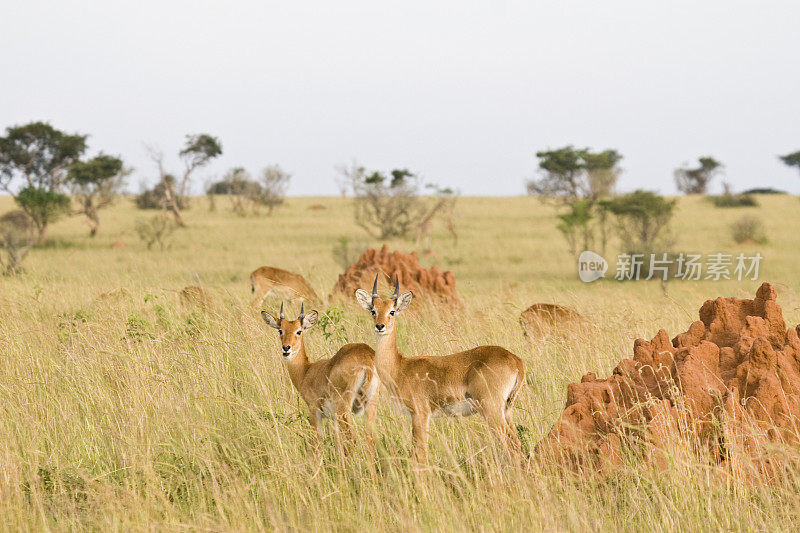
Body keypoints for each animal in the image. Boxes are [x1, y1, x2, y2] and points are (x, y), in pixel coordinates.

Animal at [260, 302, 378, 456]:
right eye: (280, 330)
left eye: (299, 331)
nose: (286, 348)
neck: (306, 371)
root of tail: (366, 357)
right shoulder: (332, 419)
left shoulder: (314, 410)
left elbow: (317, 443)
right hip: (370, 406)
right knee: (369, 440)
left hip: (343, 409)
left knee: (351, 439)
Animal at [354, 276, 524, 464]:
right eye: (373, 310)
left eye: (392, 311)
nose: (380, 326)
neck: (400, 367)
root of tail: (516, 360)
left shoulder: (420, 414)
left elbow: (420, 455)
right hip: (506, 411)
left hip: (492, 411)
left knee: (512, 448)